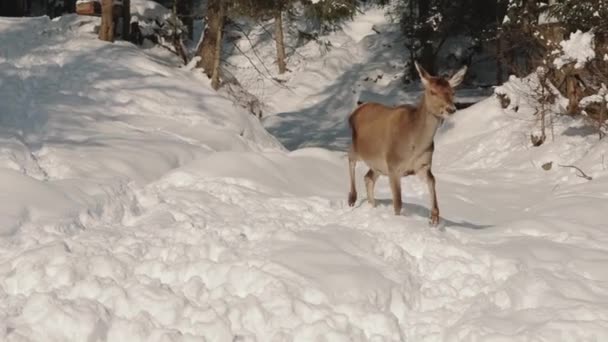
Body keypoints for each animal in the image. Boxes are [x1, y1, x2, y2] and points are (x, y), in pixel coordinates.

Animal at [344, 61, 468, 226]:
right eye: (432, 91)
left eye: (452, 92)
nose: (451, 109)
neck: (414, 145)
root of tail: (354, 112)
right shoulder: (393, 166)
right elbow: (398, 203)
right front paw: (398, 219)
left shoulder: (423, 165)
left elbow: (432, 181)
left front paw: (434, 217)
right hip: (359, 147)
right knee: (350, 157)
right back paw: (352, 197)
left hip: (378, 164)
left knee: (368, 177)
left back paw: (372, 206)